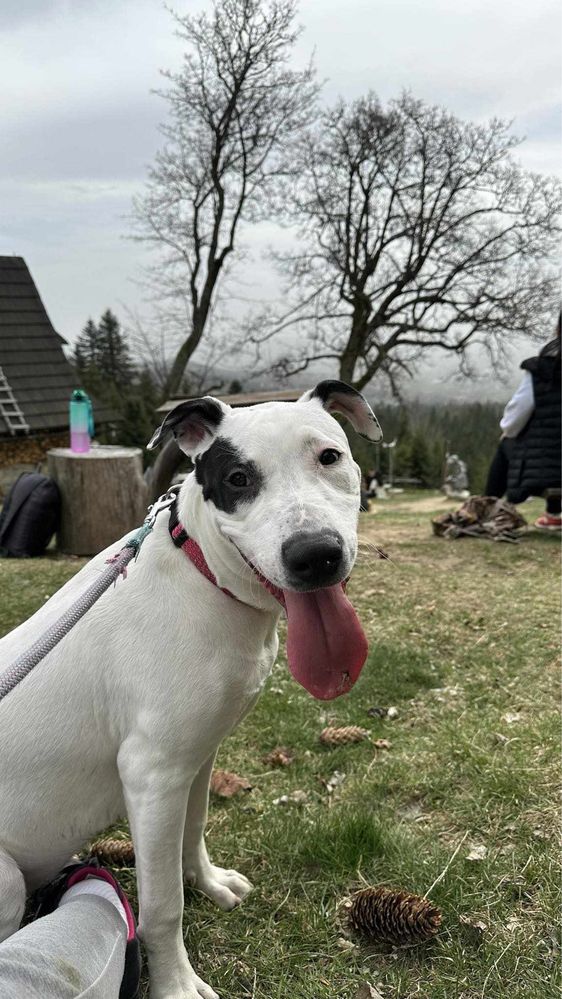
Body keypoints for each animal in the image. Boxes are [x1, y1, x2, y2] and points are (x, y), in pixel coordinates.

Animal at [0, 382, 380, 999]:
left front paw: (208, 882)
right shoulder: (152, 776)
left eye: (329, 457)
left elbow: (194, 830)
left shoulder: (197, 756)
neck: (203, 575)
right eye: (237, 478)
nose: (315, 555)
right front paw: (176, 984)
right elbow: (161, 906)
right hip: (5, 877)